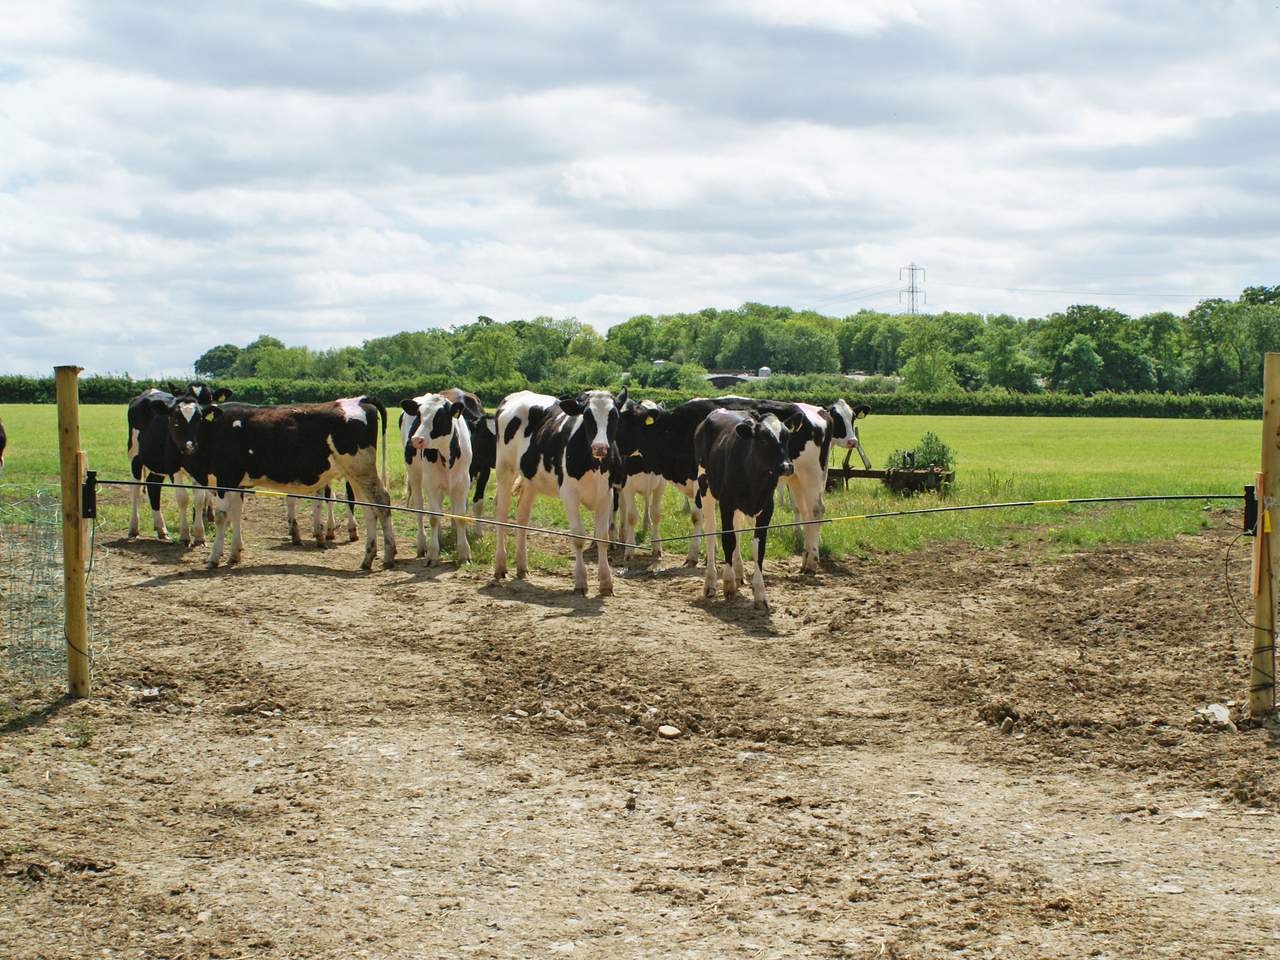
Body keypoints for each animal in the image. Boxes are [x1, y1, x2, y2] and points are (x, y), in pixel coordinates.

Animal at [126, 383, 231, 544]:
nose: (189, 445)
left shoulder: (200, 470)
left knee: (153, 484)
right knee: (135, 490)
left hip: (157, 461)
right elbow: (182, 498)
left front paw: (199, 534)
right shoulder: (173, 467)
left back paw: (161, 529)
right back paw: (133, 528)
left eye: (199, 418)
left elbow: (199, 499)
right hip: (135, 456)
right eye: (175, 419)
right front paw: (185, 535)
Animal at [159, 395, 395, 570]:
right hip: (355, 475)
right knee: (370, 510)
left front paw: (214, 558)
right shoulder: (236, 483)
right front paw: (234, 554)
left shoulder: (225, 479)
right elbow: (235, 515)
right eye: (175, 419)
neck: (216, 430)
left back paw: (389, 555)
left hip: (362, 470)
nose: (189, 445)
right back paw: (368, 558)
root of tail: (360, 399)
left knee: (382, 502)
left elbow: (221, 517)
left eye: (198, 418)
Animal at [399, 389, 479, 564]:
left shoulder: (463, 483)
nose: (416, 439)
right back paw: (423, 544)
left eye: (440, 417)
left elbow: (460, 515)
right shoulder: (431, 483)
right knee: (420, 509)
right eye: (419, 415)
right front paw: (433, 553)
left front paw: (464, 552)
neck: (446, 455)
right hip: (415, 475)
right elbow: (434, 517)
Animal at [491, 388, 627, 595]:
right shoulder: (569, 494)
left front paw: (606, 583)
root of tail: (516, 395)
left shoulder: (606, 494)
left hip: (531, 479)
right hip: (504, 468)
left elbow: (602, 537)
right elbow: (578, 536)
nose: (600, 448)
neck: (593, 464)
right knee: (502, 514)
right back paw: (500, 566)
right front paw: (580, 582)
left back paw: (522, 567)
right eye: (587, 415)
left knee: (522, 515)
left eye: (615, 416)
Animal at [694, 408, 799, 611]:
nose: (787, 466)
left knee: (738, 530)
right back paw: (711, 582)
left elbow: (758, 548)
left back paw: (739, 572)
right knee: (711, 531)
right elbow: (728, 540)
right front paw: (728, 585)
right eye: (764, 438)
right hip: (705, 487)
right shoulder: (727, 504)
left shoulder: (766, 509)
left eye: (787, 437)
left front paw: (760, 594)